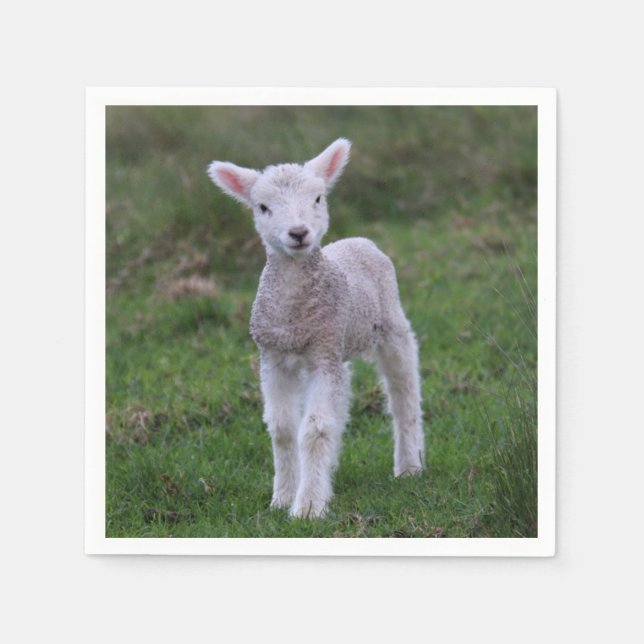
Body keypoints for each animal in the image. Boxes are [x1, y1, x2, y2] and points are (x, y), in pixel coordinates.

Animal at [207, 138, 424, 519]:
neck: (294, 314)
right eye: (263, 207)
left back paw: (409, 465)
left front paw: (308, 506)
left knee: (403, 390)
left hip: (389, 324)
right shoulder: (274, 357)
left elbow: (315, 429)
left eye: (318, 198)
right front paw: (282, 498)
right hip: (340, 344)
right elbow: (283, 428)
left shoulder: (323, 355)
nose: (298, 233)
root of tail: (359, 240)